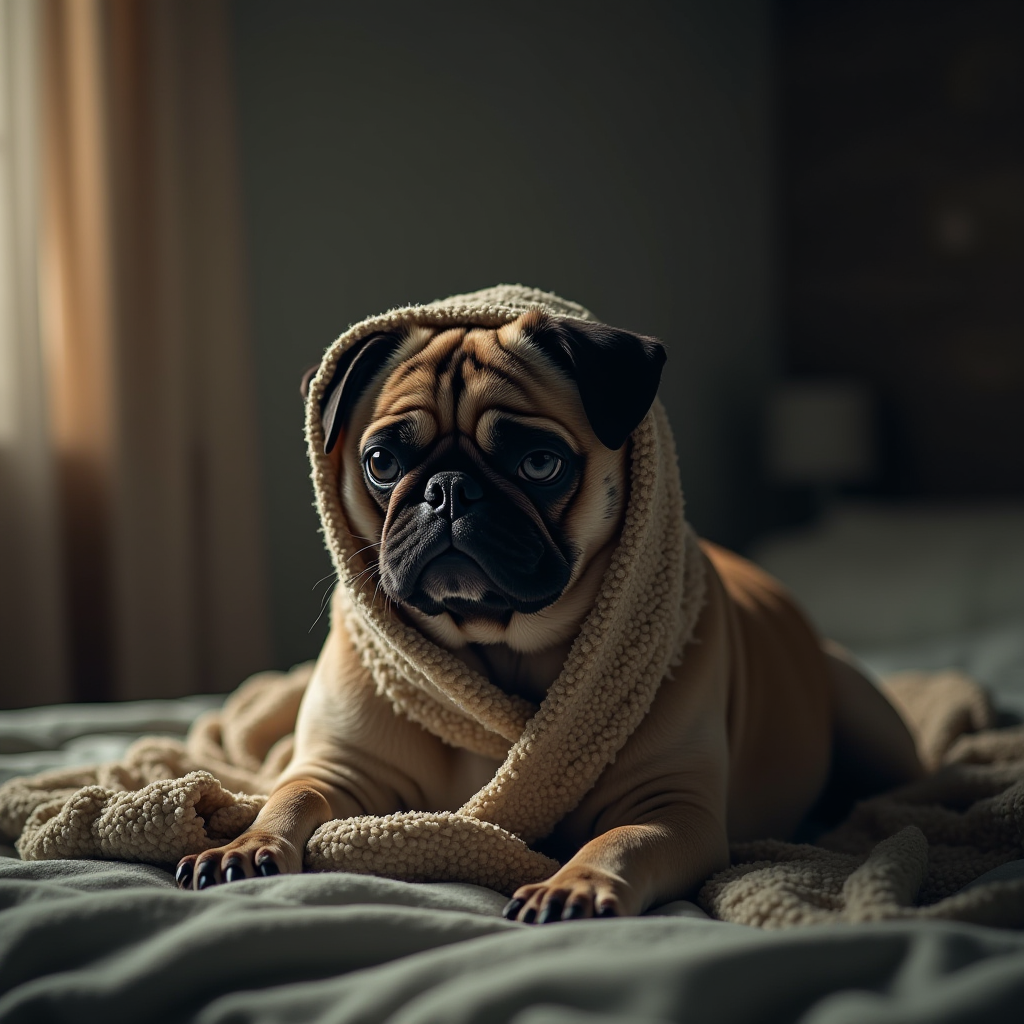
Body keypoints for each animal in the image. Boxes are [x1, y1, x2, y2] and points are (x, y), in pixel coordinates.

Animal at [172, 305, 925, 921]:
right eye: (381, 462)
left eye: (539, 464)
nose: (448, 490)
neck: (498, 651)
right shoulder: (337, 770)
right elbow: (291, 797)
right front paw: (245, 845)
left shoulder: (672, 808)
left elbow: (621, 839)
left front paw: (574, 883)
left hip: (871, 725)